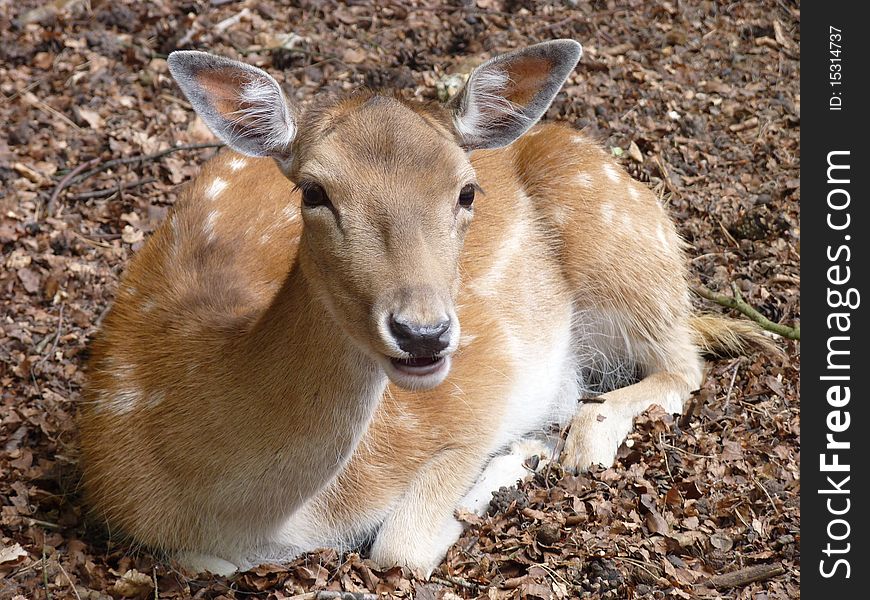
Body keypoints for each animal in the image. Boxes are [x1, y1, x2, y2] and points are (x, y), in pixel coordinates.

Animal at [78, 39, 768, 576]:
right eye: (314, 191)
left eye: (467, 190)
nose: (423, 333)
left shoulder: (472, 405)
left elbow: (401, 550)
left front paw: (511, 465)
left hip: (619, 237)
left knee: (681, 363)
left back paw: (572, 442)